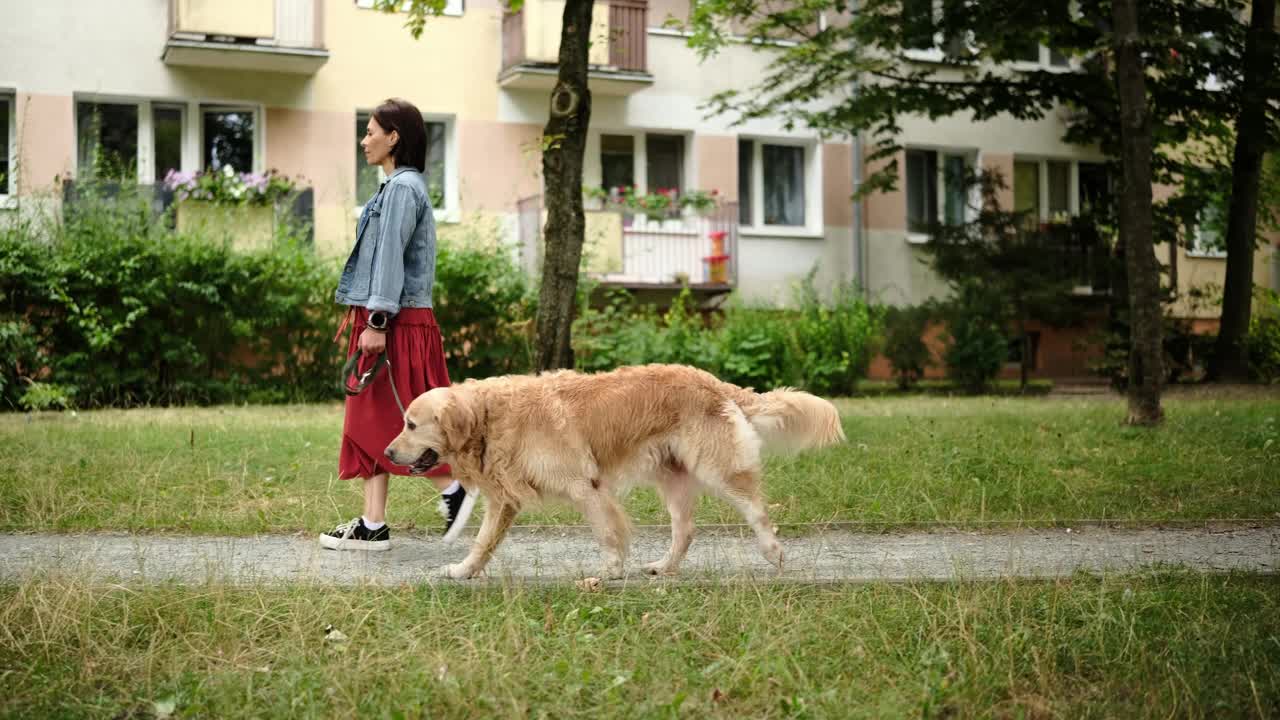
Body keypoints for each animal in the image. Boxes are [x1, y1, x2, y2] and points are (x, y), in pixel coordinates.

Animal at [386, 363, 849, 576]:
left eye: (411, 424)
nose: (387, 453)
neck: (490, 416)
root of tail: (713, 381)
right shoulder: (505, 500)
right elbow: (483, 543)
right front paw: (463, 571)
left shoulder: (585, 485)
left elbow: (607, 533)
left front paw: (609, 571)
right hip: (674, 478)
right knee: (686, 530)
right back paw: (664, 567)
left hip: (717, 468)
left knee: (756, 508)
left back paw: (773, 551)